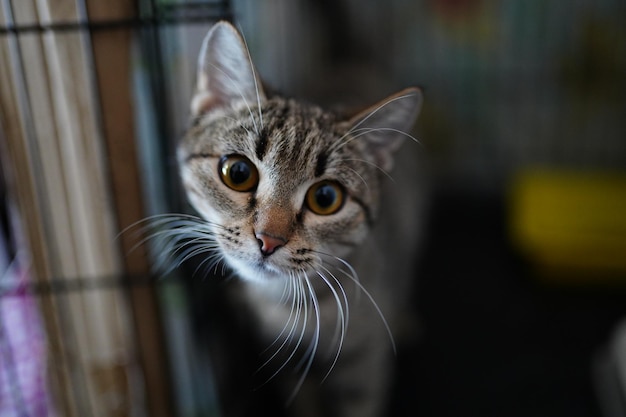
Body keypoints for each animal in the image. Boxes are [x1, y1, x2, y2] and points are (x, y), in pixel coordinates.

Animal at [168, 22, 422, 416]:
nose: (268, 239)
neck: (285, 307)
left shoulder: (364, 364)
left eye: (325, 198)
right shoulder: (283, 365)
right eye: (238, 172)